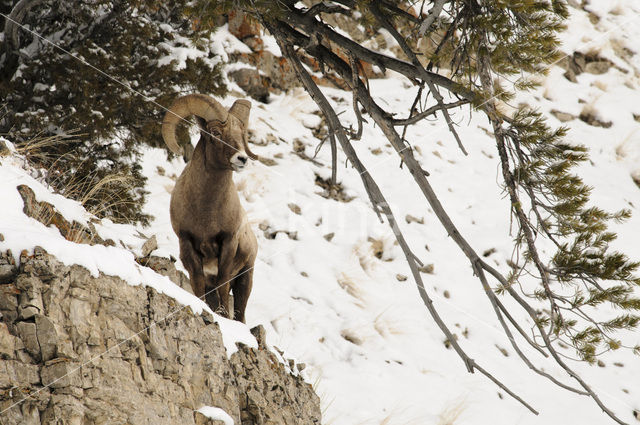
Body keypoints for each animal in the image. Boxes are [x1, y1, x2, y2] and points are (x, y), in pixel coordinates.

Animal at [161, 93, 258, 322]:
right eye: (215, 133)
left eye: (241, 135)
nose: (242, 159)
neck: (206, 213)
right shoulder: (187, 243)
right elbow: (197, 282)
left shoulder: (228, 243)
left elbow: (223, 280)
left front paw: (223, 315)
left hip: (246, 277)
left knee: (240, 310)